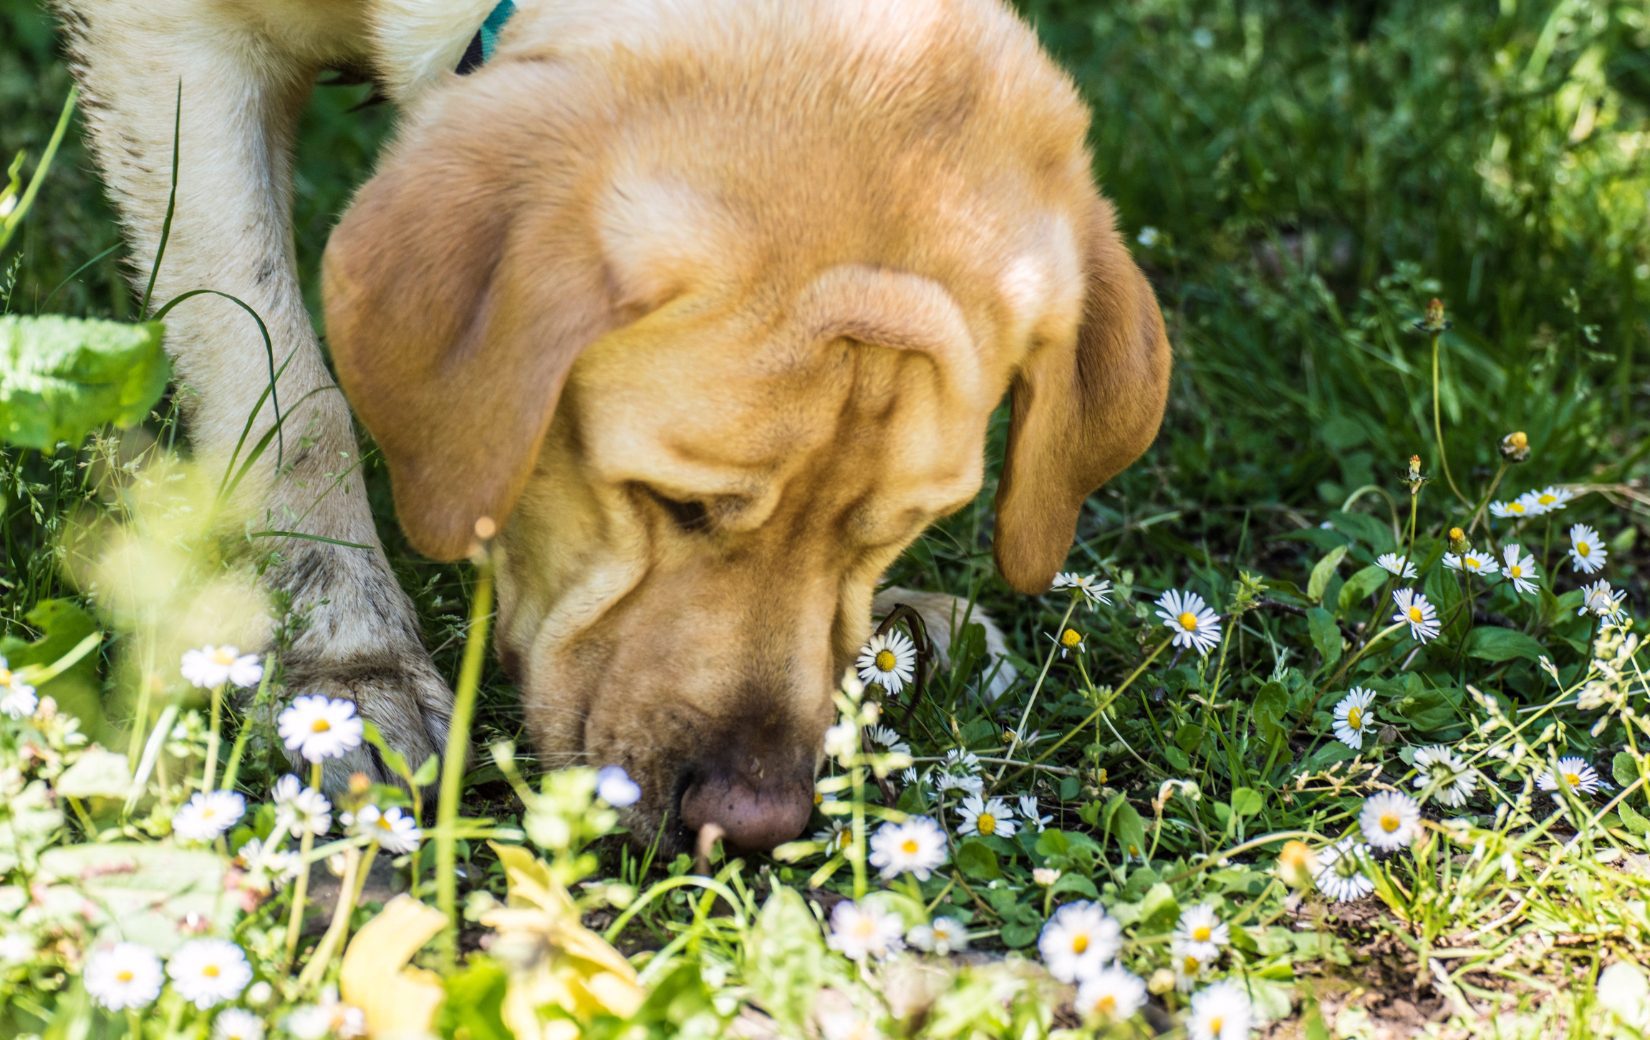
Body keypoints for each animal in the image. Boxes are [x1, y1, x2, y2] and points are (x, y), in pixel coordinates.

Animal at [58, 0, 1174, 858]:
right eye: (673, 502)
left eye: (900, 529)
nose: (752, 823)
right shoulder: (171, 48)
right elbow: (285, 386)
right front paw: (342, 664)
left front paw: (899, 626)